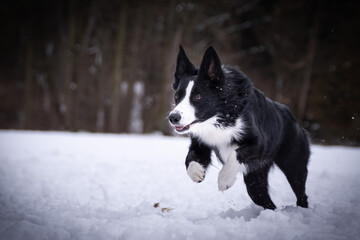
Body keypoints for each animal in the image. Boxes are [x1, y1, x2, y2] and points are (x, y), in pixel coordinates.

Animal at [167, 46, 310, 209]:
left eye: (198, 96)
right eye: (177, 96)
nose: (173, 117)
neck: (220, 115)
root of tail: (293, 118)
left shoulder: (260, 144)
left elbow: (235, 153)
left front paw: (224, 179)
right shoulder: (201, 143)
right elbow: (190, 158)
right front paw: (196, 172)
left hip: (294, 166)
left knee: (301, 194)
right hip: (255, 181)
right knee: (266, 201)